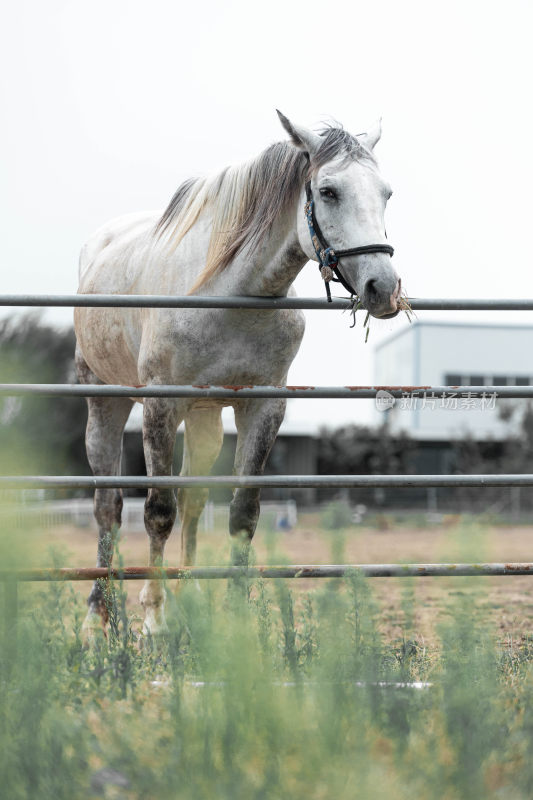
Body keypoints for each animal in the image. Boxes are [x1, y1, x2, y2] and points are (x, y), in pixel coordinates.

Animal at [74, 109, 400, 636]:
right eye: (328, 191)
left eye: (386, 193)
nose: (383, 287)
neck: (231, 293)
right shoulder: (160, 406)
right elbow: (157, 512)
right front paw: (154, 617)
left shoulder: (262, 407)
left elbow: (242, 515)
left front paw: (235, 622)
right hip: (105, 401)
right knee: (109, 508)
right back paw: (97, 617)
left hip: (205, 417)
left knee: (192, 499)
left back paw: (185, 598)